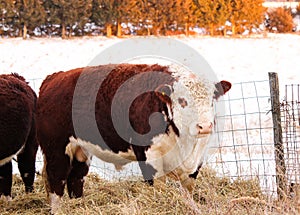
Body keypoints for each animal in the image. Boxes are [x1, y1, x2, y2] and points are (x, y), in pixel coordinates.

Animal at [36, 63, 231, 213]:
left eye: (212, 100)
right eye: (182, 101)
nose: (205, 126)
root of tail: (54, 78)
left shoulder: (197, 158)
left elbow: (188, 190)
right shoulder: (148, 157)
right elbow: (159, 188)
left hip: (81, 152)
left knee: (76, 179)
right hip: (57, 150)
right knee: (56, 182)